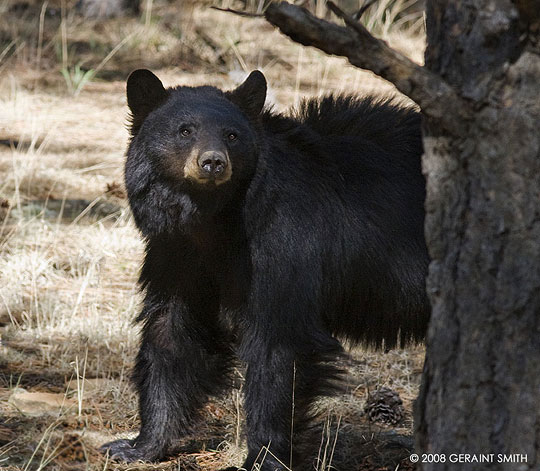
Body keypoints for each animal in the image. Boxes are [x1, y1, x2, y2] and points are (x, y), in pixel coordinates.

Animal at [100, 68, 430, 470]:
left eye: (232, 135)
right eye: (185, 130)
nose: (213, 162)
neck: (214, 219)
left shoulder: (284, 240)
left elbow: (277, 342)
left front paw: (263, 457)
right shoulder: (177, 252)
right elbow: (173, 333)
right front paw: (138, 445)